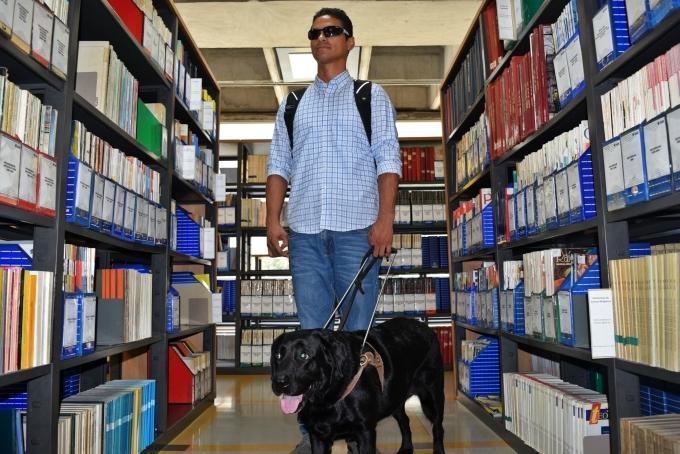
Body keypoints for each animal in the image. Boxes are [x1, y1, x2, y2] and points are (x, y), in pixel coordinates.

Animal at [270, 318, 446, 454]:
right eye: (278, 355)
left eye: (303, 355)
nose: (279, 382)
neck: (330, 397)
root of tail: (426, 328)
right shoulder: (318, 435)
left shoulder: (365, 431)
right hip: (395, 399)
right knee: (405, 421)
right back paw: (407, 448)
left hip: (432, 397)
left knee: (438, 427)